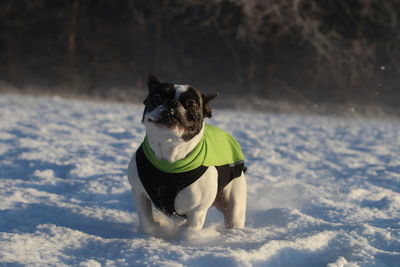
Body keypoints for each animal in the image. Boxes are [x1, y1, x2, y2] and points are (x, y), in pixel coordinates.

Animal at [128, 74, 247, 236]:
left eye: (192, 103)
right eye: (157, 97)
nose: (172, 103)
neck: (170, 153)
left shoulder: (197, 211)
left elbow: (189, 230)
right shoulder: (139, 194)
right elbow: (147, 223)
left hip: (234, 203)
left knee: (233, 217)